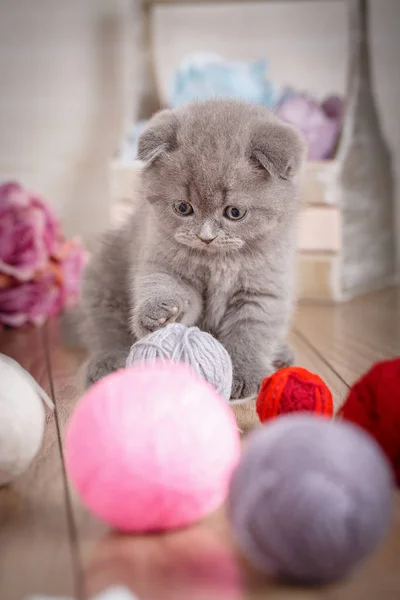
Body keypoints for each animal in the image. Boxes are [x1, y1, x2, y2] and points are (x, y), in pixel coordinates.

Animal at [79, 99, 306, 398]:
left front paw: (243, 374)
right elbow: (164, 286)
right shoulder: (160, 259)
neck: (218, 261)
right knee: (105, 328)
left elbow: (250, 333)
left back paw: (280, 354)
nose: (205, 236)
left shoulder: (263, 288)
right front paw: (159, 314)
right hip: (104, 274)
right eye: (183, 208)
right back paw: (109, 363)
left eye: (234, 212)